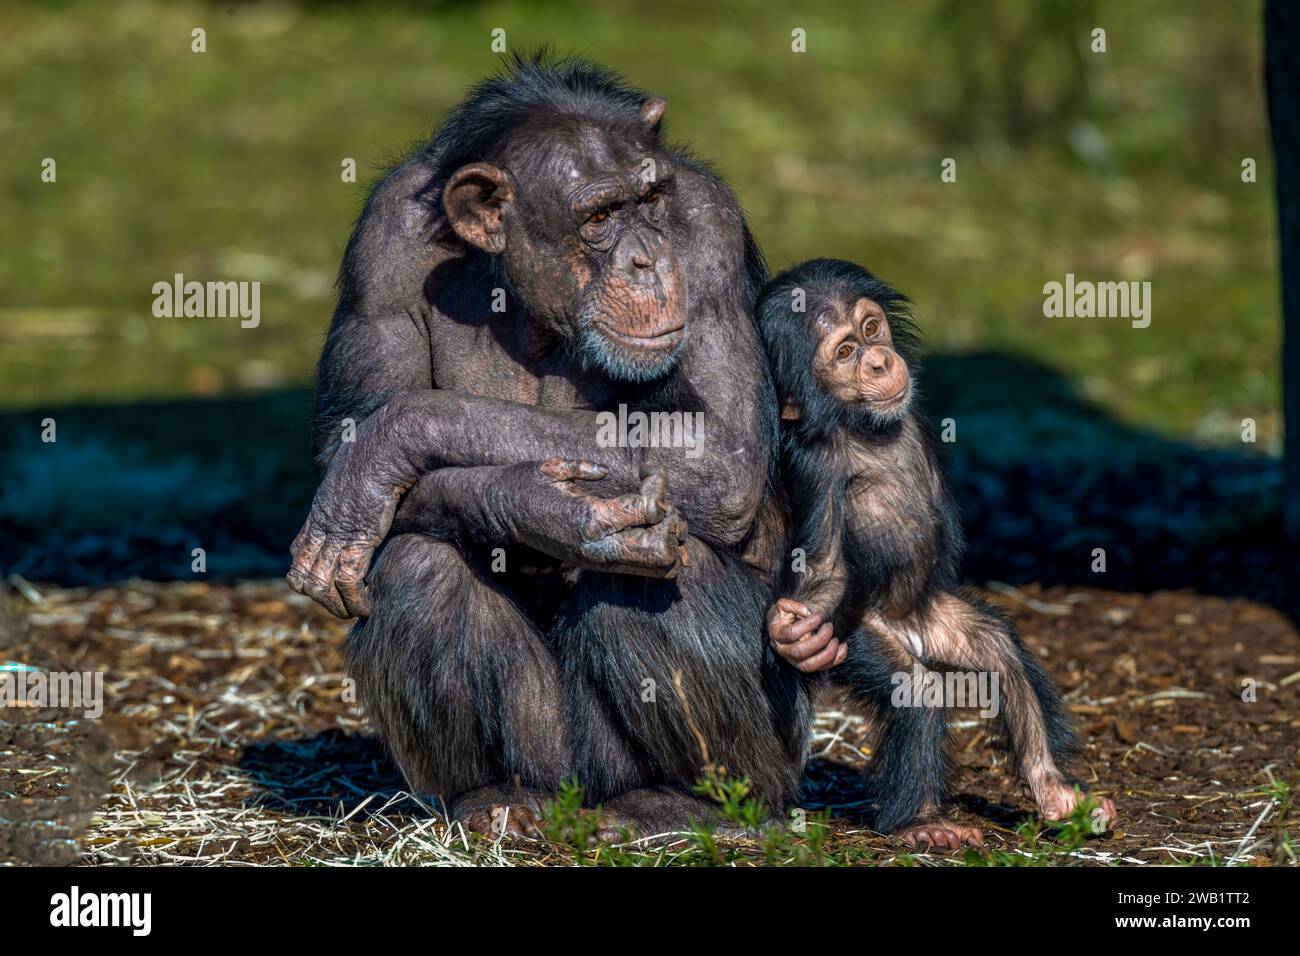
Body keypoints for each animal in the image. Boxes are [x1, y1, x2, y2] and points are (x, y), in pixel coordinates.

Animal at [289, 54, 806, 837]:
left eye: (650, 201)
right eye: (599, 218)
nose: (648, 260)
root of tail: (581, 800)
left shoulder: (709, 233)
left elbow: (720, 457)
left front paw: (394, 440)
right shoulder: (382, 246)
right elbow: (343, 437)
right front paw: (536, 504)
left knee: (654, 573)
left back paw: (695, 804)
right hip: (553, 756)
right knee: (418, 563)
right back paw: (495, 797)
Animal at [759, 257, 1118, 848]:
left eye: (871, 329)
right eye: (844, 353)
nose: (879, 360)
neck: (862, 428)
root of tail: (912, 629)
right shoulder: (816, 470)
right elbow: (824, 569)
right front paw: (796, 634)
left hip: (943, 620)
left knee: (1001, 654)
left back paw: (1054, 793)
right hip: (861, 634)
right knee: (916, 689)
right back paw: (920, 822)